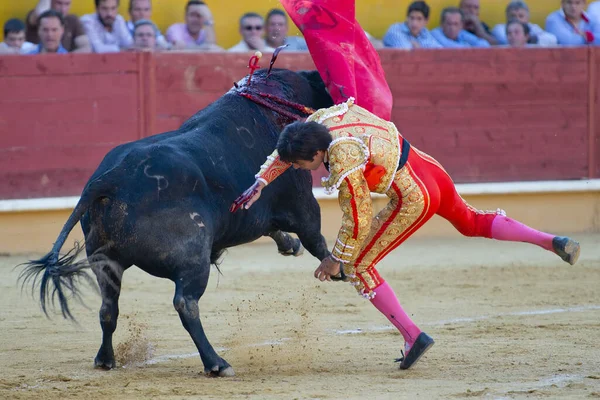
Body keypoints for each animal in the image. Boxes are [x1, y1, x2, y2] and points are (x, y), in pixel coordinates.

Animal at [18, 67, 336, 376]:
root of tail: (111, 177)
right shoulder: (301, 203)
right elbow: (315, 237)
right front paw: (336, 269)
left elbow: (275, 228)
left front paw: (290, 246)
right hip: (193, 260)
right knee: (186, 303)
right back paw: (216, 363)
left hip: (104, 260)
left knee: (108, 307)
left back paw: (105, 359)